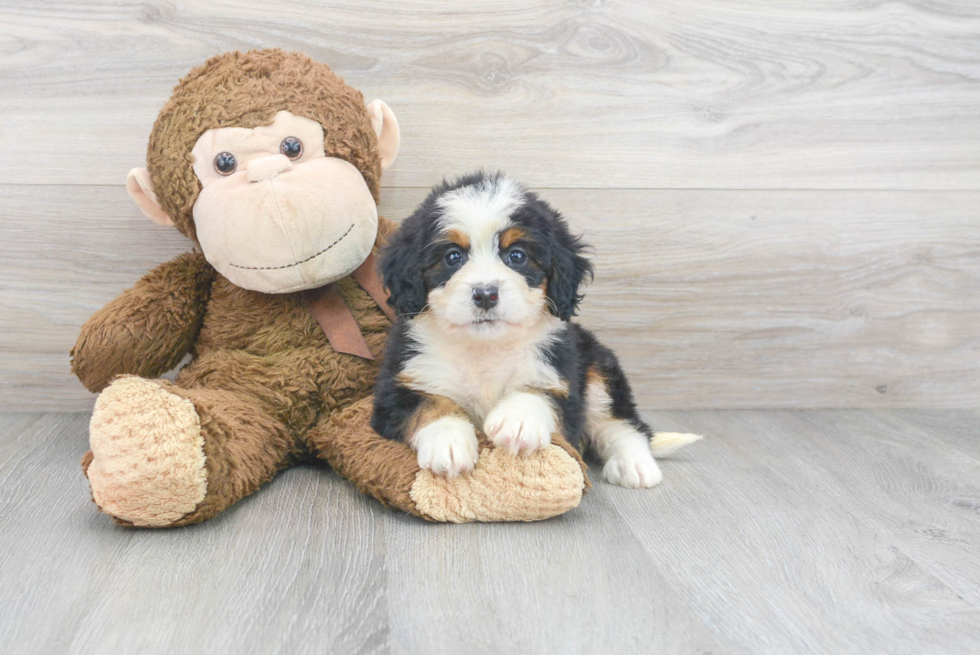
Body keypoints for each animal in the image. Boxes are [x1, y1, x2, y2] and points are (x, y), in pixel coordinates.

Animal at [372, 172, 700, 490]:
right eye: (453, 257)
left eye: (517, 256)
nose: (486, 294)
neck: (485, 349)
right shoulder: (399, 386)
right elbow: (432, 404)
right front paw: (448, 442)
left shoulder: (562, 378)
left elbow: (540, 392)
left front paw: (517, 420)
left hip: (598, 367)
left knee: (621, 424)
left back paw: (634, 465)